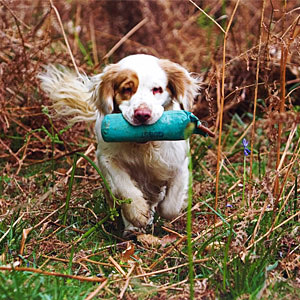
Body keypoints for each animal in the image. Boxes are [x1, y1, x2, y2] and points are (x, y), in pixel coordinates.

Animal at [39, 55, 199, 236]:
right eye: (127, 89)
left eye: (157, 89)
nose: (142, 114)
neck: (144, 146)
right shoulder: (106, 159)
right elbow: (124, 186)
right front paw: (138, 213)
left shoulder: (179, 164)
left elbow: (170, 206)